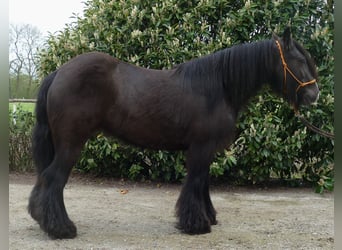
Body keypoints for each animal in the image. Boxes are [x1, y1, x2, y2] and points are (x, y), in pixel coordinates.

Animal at [28, 28, 320, 239]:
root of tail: (59, 72)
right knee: (54, 180)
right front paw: (196, 224)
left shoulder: (206, 150)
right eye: (298, 60)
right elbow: (195, 182)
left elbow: (203, 183)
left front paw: (208, 217)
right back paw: (61, 229)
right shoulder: (200, 148)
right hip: (71, 145)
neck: (218, 87)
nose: (313, 95)